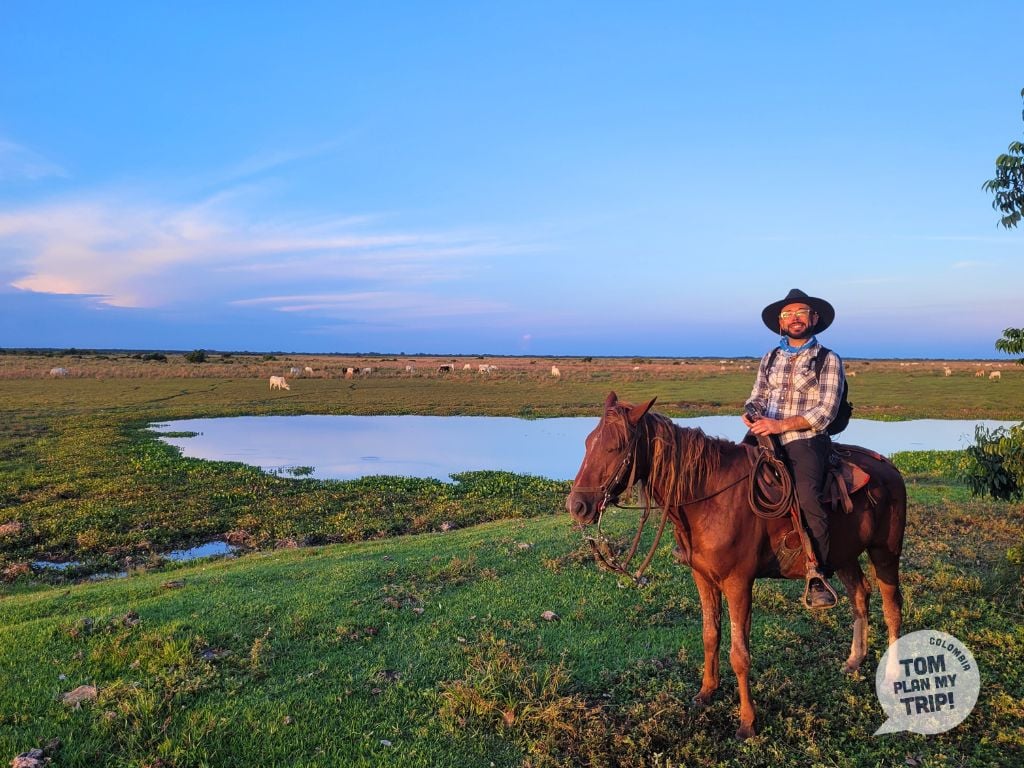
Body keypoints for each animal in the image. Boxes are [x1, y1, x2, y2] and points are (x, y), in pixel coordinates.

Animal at [566, 392, 905, 740]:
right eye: (588, 442)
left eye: (615, 447)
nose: (577, 506)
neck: (709, 498)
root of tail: (889, 466)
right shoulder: (703, 578)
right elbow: (710, 636)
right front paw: (706, 692)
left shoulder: (738, 583)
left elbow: (739, 654)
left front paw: (747, 722)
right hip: (844, 555)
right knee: (859, 596)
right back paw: (854, 661)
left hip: (885, 552)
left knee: (892, 606)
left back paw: (893, 674)